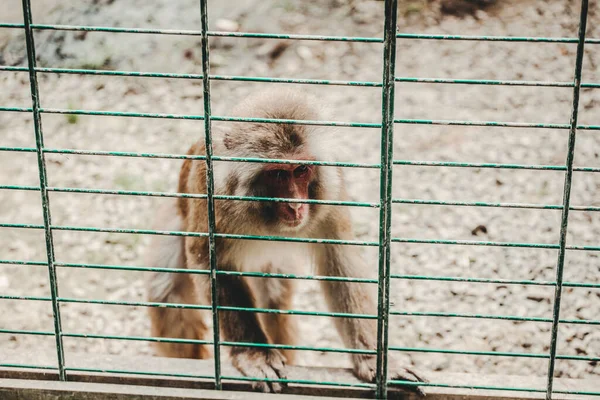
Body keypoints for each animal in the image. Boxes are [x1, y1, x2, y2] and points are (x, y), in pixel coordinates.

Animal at [145, 90, 426, 394]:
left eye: (301, 169)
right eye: (278, 173)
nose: (295, 206)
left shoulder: (332, 194)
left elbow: (339, 261)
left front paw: (373, 359)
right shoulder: (213, 194)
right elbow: (208, 261)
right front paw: (254, 354)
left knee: (274, 304)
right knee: (167, 296)